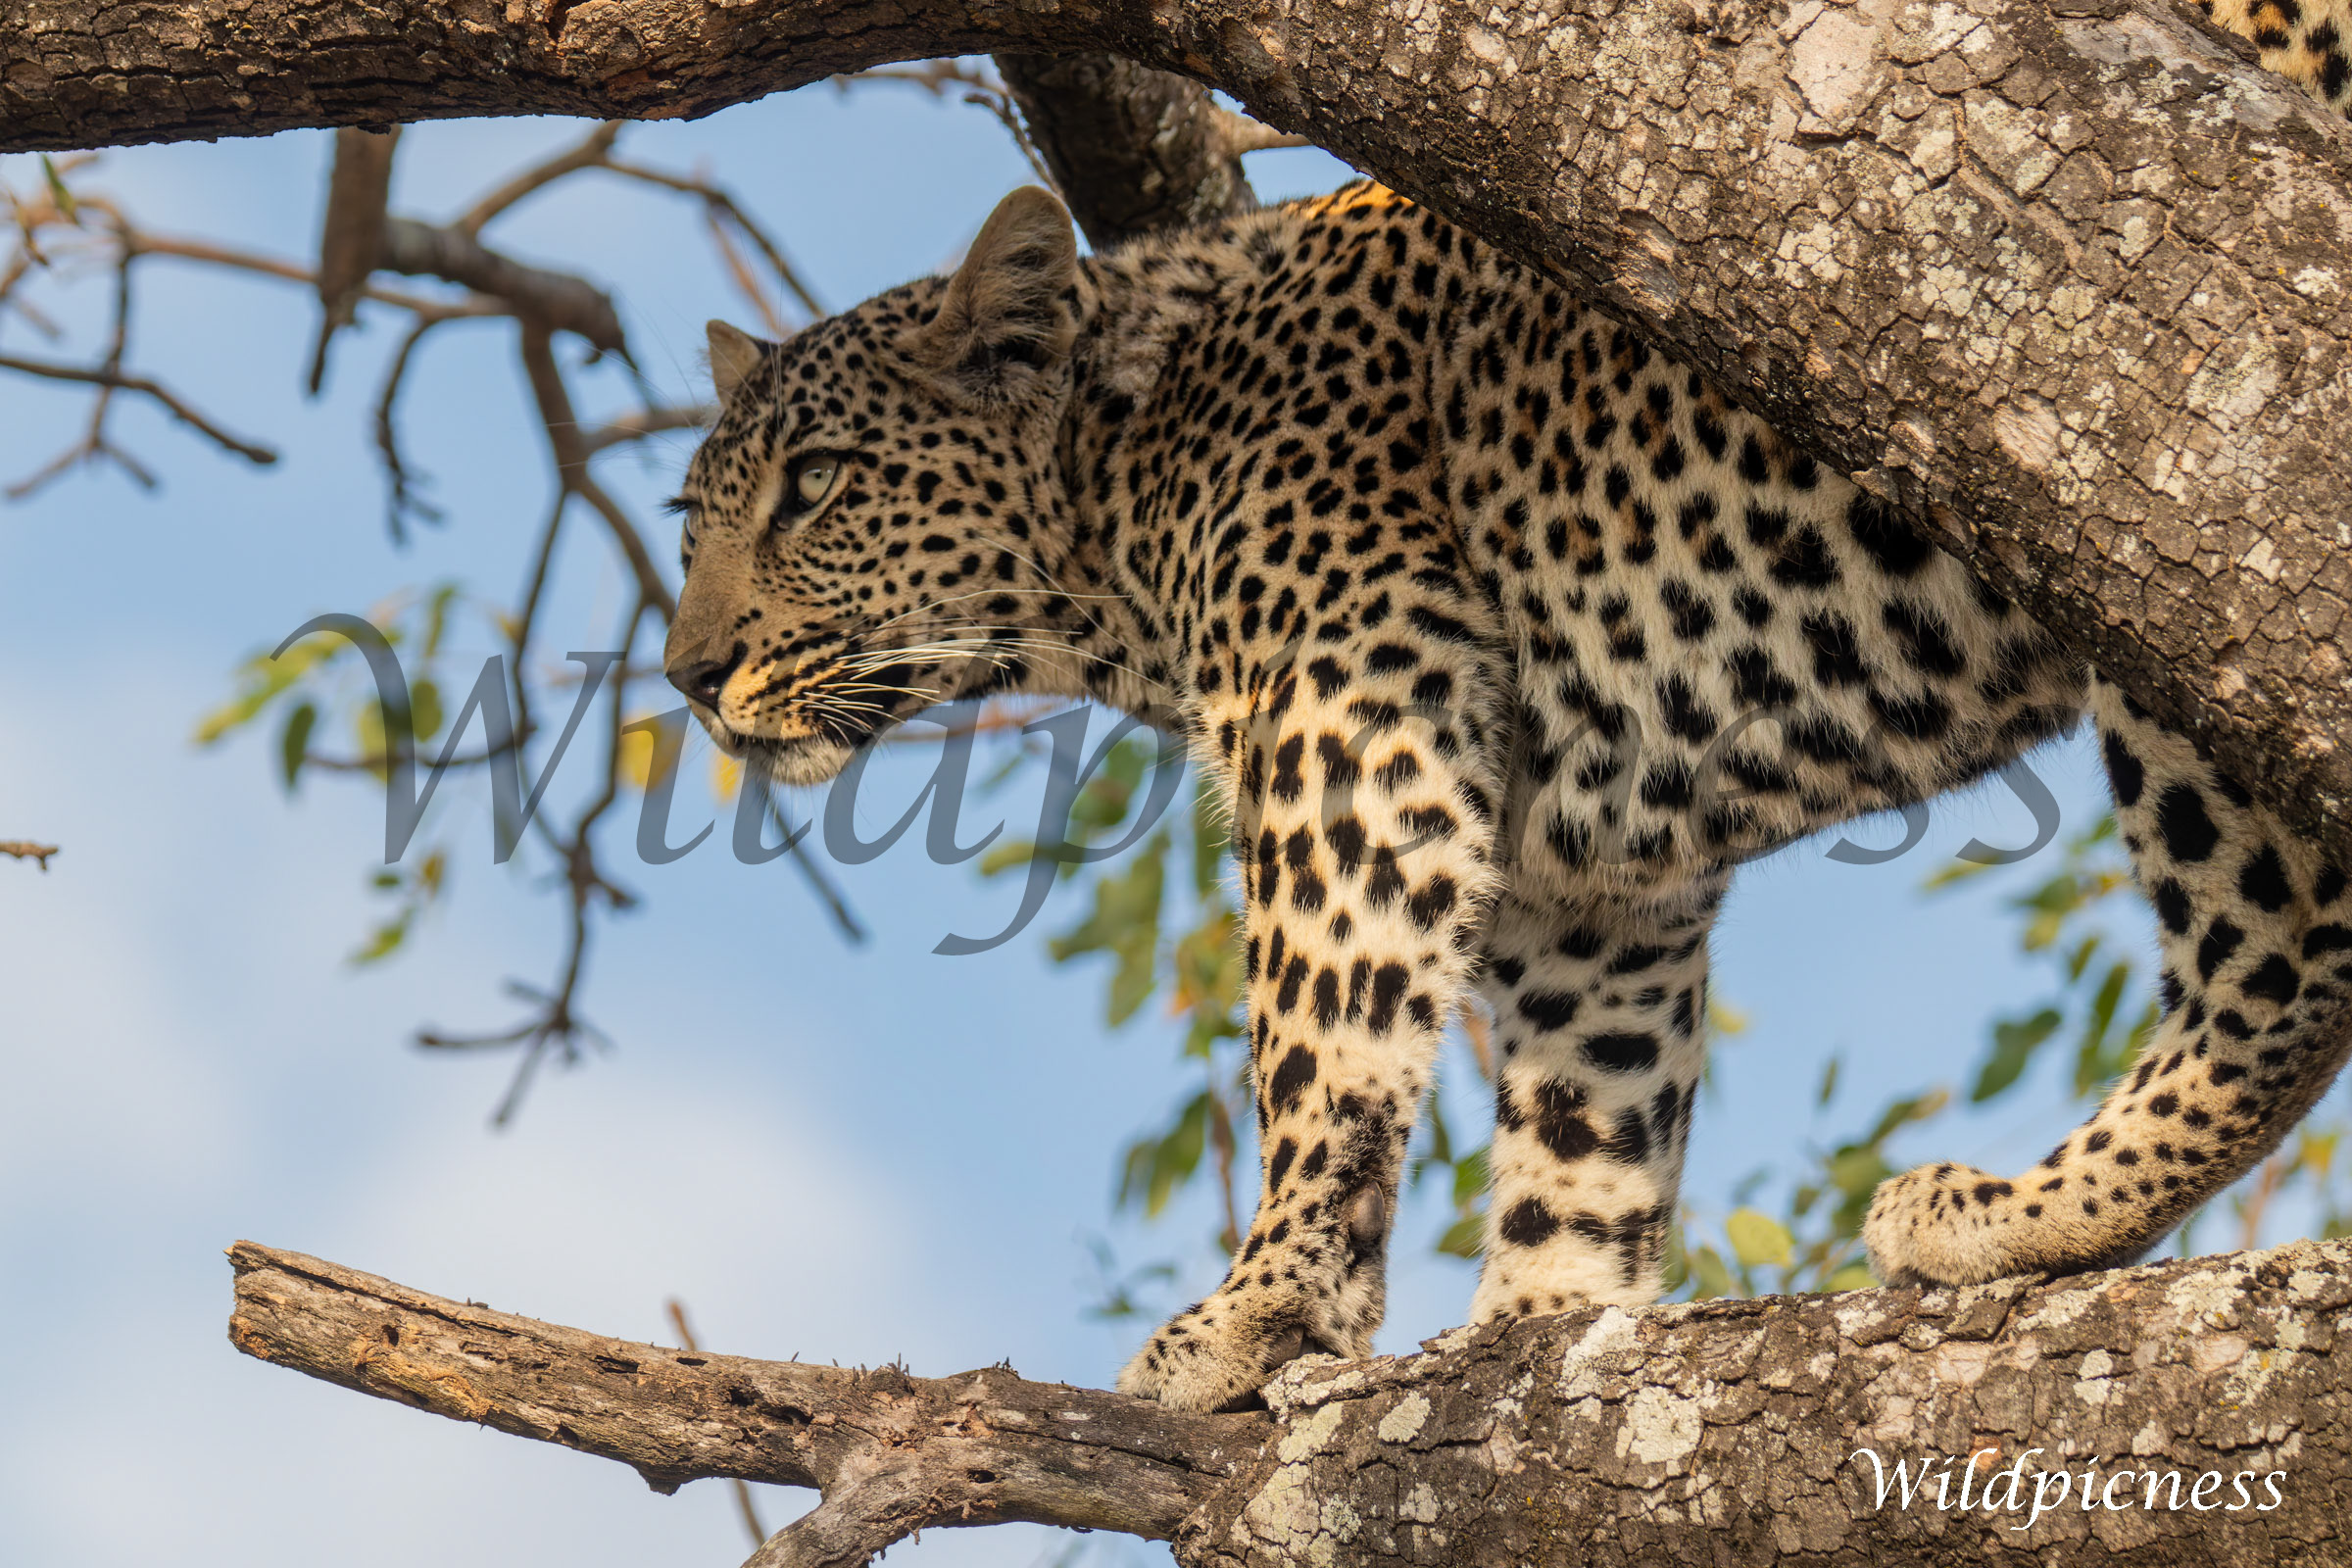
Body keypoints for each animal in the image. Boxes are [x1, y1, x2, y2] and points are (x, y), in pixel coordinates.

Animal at [663, 53, 2352, 1413]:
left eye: (816, 484)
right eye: (692, 521)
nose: (686, 674)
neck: (1117, 503)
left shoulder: (1344, 697)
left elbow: (1322, 1035)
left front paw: (1259, 1312)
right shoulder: (1587, 873)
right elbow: (1587, 1107)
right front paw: (1536, 1331)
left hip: (2169, 553)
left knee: (2287, 947)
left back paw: (2020, 1212)